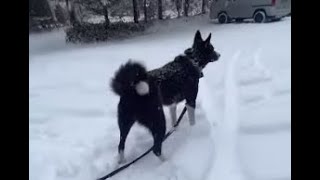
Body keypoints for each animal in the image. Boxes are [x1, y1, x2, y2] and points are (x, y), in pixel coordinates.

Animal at [110, 29, 220, 163]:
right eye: (212, 48)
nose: (219, 55)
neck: (193, 60)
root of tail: (130, 89)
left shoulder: (172, 104)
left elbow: (174, 121)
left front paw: (175, 130)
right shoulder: (190, 101)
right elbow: (192, 121)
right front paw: (193, 130)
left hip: (125, 123)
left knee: (121, 145)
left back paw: (122, 161)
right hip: (158, 120)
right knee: (156, 149)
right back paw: (167, 162)